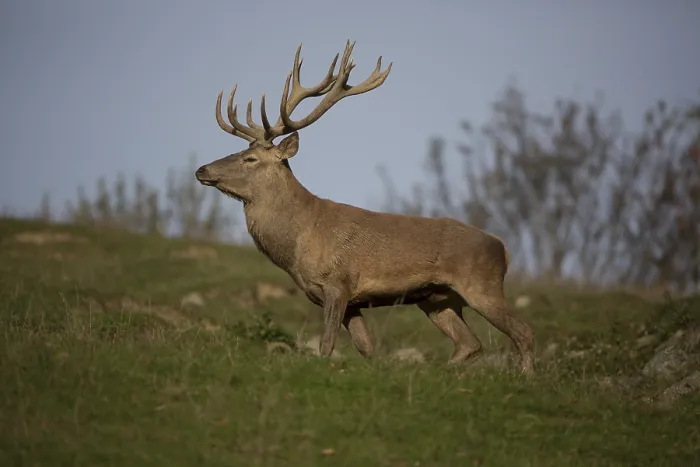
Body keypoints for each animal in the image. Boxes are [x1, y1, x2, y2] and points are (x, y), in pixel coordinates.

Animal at [195, 40, 535, 374]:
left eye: (250, 158)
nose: (202, 170)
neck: (298, 241)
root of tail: (502, 248)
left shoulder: (338, 283)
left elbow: (327, 345)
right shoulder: (351, 301)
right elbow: (367, 350)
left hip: (481, 284)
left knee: (523, 331)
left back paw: (526, 376)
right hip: (437, 299)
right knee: (469, 343)